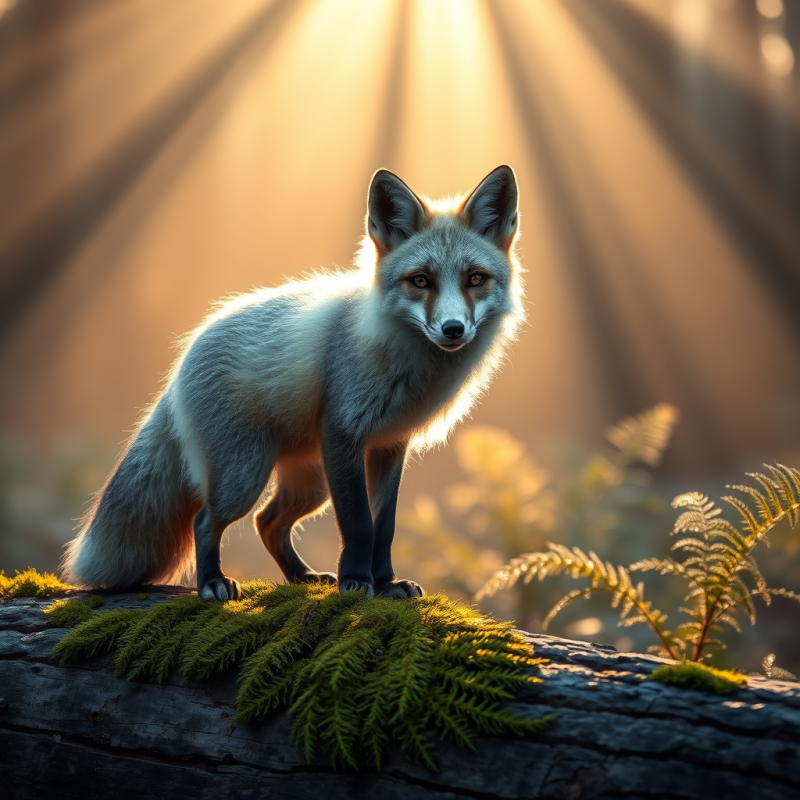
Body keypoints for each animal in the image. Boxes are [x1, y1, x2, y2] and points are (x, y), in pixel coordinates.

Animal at [61, 165, 524, 601]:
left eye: (475, 279)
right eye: (421, 281)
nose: (453, 329)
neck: (404, 362)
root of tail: (185, 357)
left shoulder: (390, 445)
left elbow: (385, 527)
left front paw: (387, 584)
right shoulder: (343, 433)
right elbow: (360, 525)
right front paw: (357, 582)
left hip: (310, 483)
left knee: (267, 522)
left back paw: (302, 576)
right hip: (246, 475)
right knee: (206, 520)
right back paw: (213, 583)